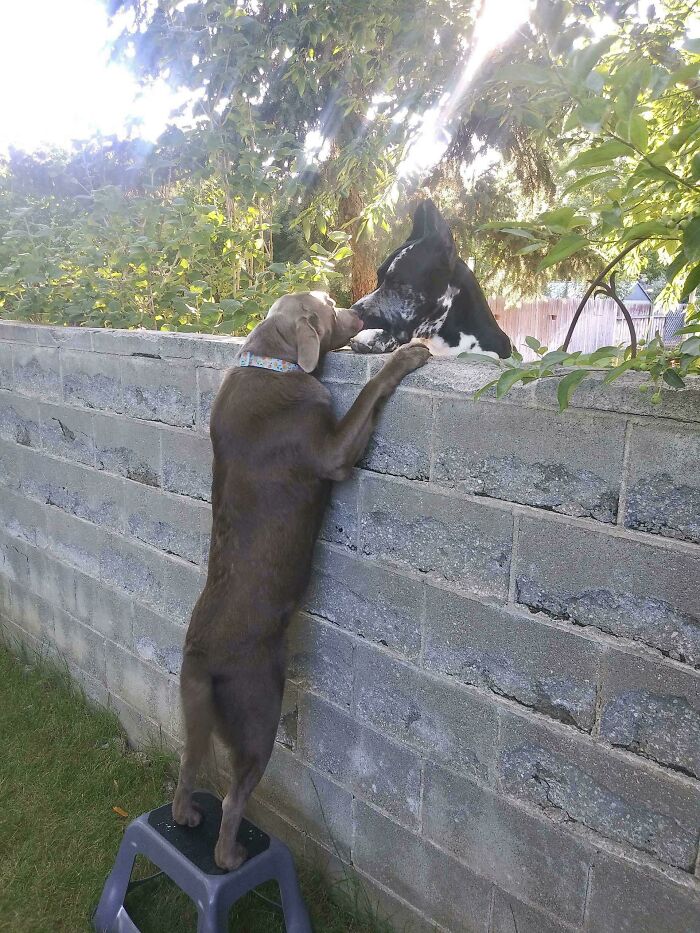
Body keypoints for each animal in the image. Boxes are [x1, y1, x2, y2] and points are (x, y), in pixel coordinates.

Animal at [172, 290, 430, 868]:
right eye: (331, 307)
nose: (360, 311)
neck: (272, 359)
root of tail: (200, 657)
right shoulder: (333, 452)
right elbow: (370, 392)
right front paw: (406, 356)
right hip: (260, 711)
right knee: (234, 797)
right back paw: (229, 857)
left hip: (197, 716)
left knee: (187, 771)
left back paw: (188, 816)